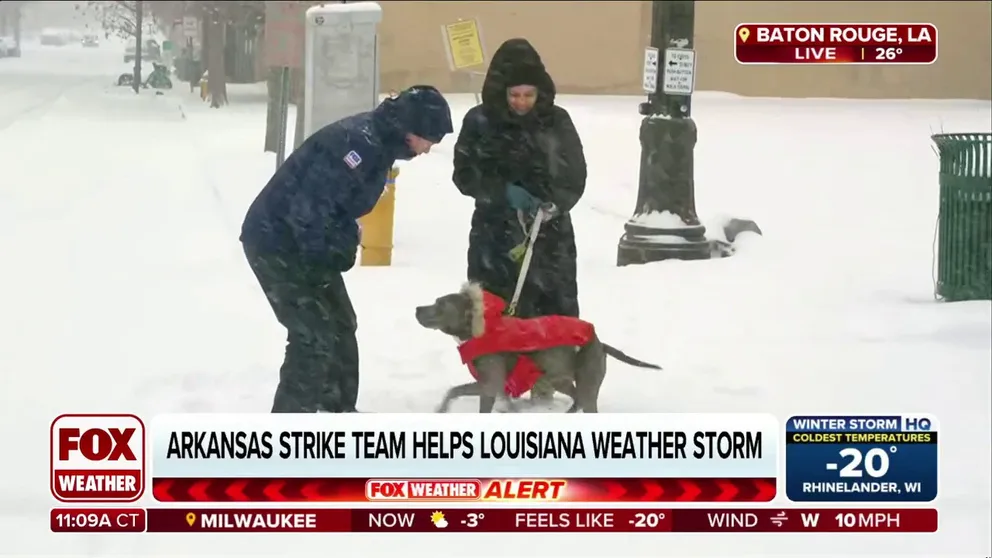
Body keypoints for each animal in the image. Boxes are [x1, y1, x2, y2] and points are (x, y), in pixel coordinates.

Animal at [414, 286, 664, 414]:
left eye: (440, 305)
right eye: (435, 300)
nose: (417, 308)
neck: (480, 329)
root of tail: (599, 342)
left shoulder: (490, 383)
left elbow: (454, 390)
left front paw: (441, 409)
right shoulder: (497, 387)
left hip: (587, 380)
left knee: (586, 401)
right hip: (560, 378)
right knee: (576, 398)